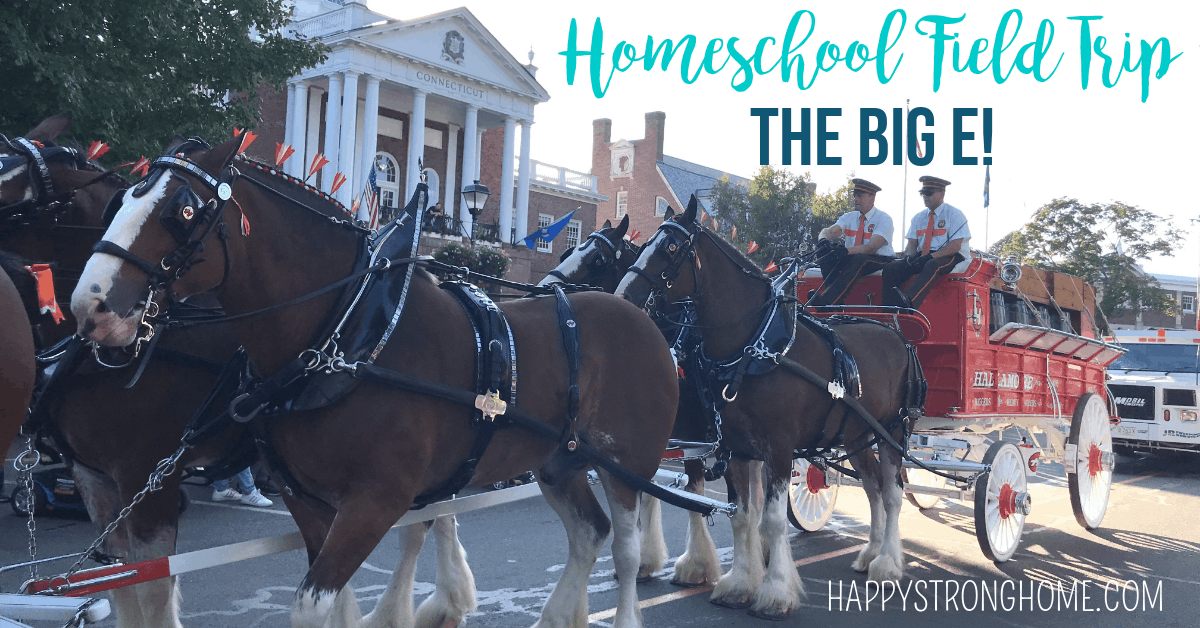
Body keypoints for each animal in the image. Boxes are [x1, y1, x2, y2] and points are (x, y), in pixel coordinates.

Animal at [70, 136, 681, 628]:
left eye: (182, 209)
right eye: (122, 200)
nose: (89, 306)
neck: (349, 334)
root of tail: (639, 317)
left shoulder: (375, 501)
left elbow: (313, 605)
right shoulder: (311, 501)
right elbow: (337, 601)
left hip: (626, 462)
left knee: (626, 550)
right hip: (558, 461)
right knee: (588, 532)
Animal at [614, 200, 912, 619]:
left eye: (671, 247)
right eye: (643, 245)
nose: (623, 296)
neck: (755, 348)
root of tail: (894, 331)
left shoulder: (778, 447)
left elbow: (770, 518)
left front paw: (775, 592)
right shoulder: (735, 446)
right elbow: (741, 515)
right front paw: (739, 583)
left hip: (892, 432)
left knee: (893, 493)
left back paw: (887, 564)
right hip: (856, 435)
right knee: (873, 488)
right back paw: (870, 553)